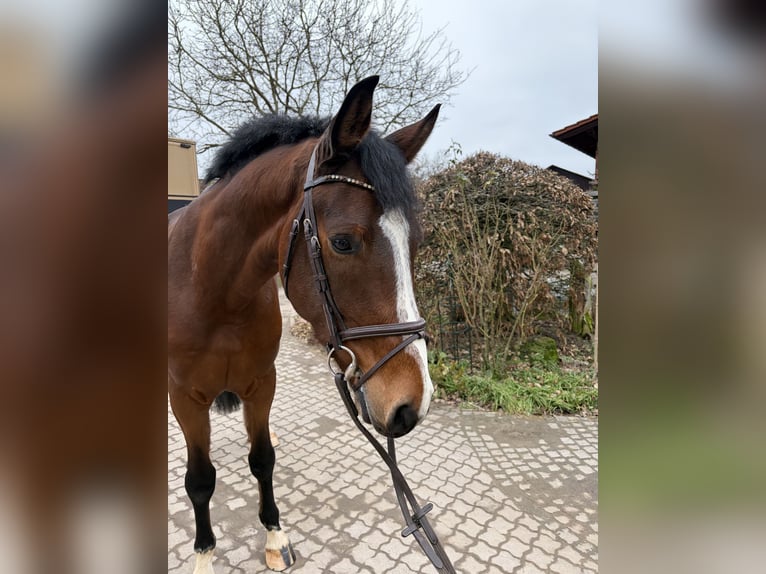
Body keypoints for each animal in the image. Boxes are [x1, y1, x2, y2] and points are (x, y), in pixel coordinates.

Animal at [168, 76, 440, 573]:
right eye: (343, 242)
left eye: (415, 242)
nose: (413, 403)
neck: (212, 291)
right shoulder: (186, 397)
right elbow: (199, 481)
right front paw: (203, 555)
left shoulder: (262, 382)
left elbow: (263, 459)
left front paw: (275, 536)